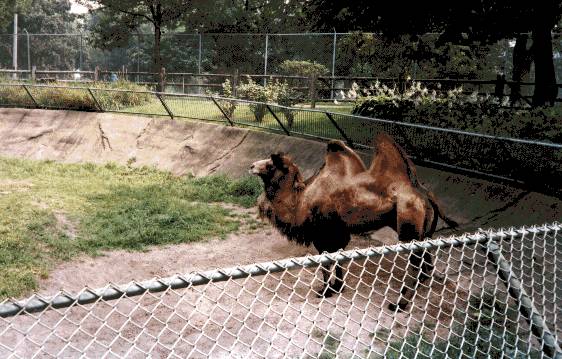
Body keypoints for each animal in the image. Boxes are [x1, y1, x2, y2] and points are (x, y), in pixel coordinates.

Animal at [249, 134, 456, 310]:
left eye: (271, 165)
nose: (251, 165)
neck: (301, 201)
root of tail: (425, 195)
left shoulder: (323, 232)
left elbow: (326, 263)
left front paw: (325, 291)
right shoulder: (339, 233)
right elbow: (338, 257)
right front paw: (337, 288)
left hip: (408, 224)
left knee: (417, 265)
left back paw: (399, 304)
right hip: (423, 232)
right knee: (426, 264)